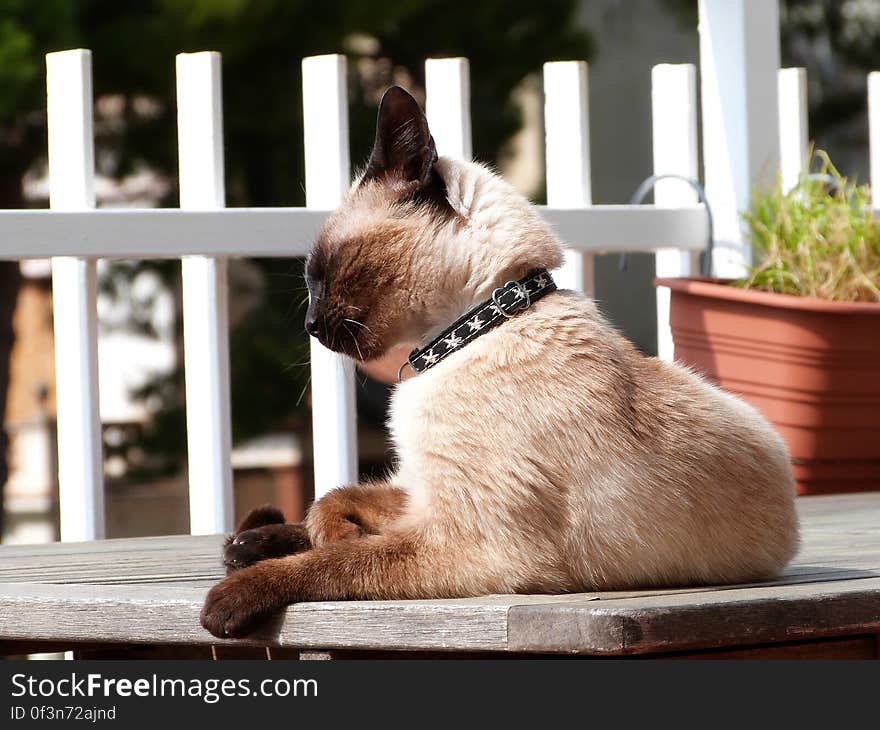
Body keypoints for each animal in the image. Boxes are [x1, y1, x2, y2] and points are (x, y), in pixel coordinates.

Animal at [199, 85, 796, 636]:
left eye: (322, 272)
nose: (310, 325)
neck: (471, 329)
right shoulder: (425, 494)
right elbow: (330, 503)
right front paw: (311, 534)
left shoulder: (470, 543)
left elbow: (337, 560)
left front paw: (229, 600)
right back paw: (249, 540)